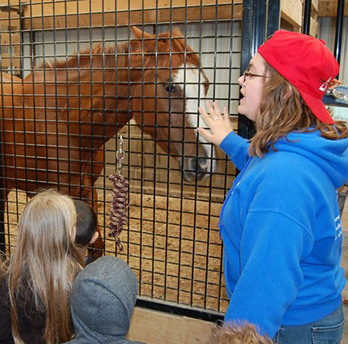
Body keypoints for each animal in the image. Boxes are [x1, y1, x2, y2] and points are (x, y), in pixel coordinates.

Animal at [0, 26, 216, 255]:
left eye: (206, 84)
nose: (204, 163)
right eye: (170, 87)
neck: (64, 117)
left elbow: (97, 248)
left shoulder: (87, 190)